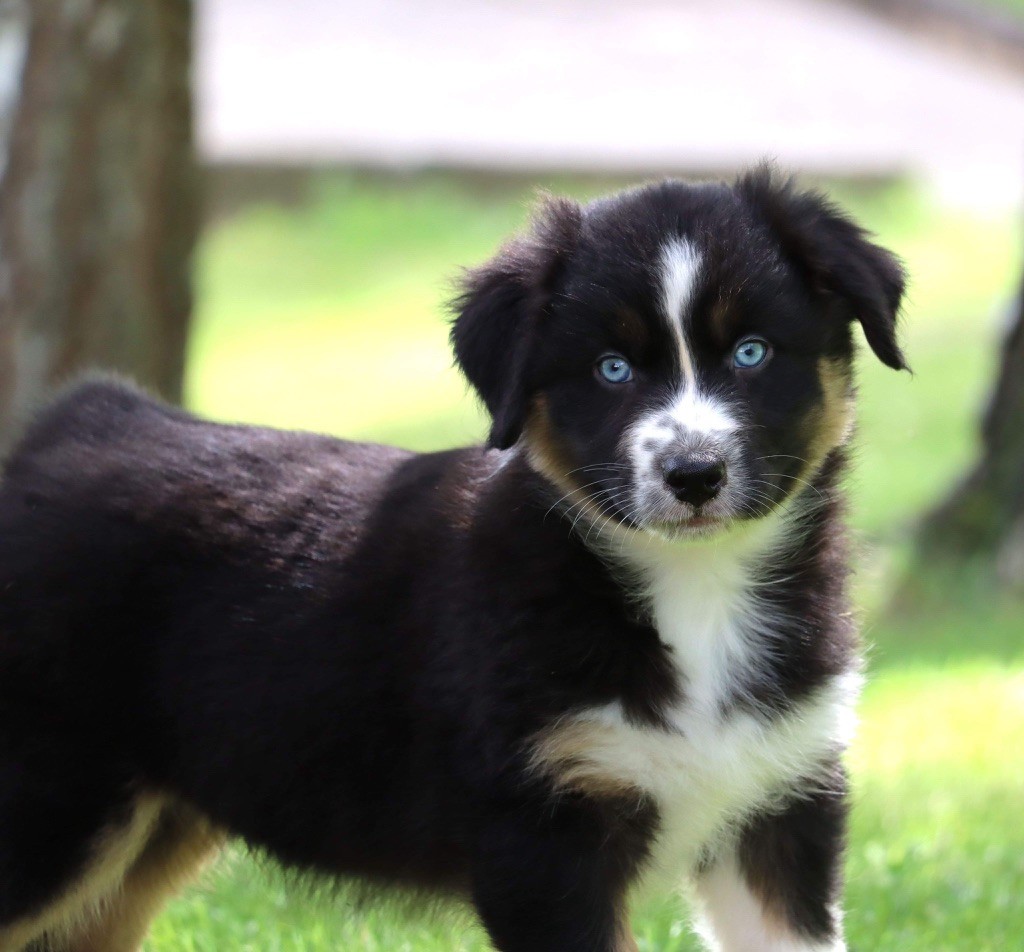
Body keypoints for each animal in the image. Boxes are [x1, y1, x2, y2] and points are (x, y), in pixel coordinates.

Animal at [0, 166, 909, 945]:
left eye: (752, 352)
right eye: (611, 369)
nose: (693, 475)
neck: (695, 589)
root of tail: (69, 426)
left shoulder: (779, 804)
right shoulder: (542, 841)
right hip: (53, 813)